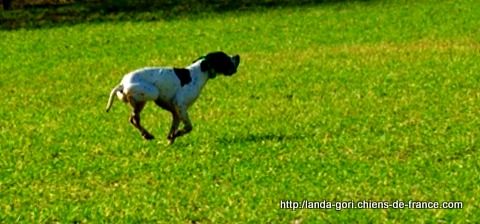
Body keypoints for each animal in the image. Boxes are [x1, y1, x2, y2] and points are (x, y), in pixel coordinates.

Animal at [105, 51, 240, 144]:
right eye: (225, 58)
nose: (238, 56)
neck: (198, 72)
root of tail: (123, 83)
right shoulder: (180, 105)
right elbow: (188, 127)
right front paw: (177, 134)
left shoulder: (176, 112)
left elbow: (173, 129)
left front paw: (171, 138)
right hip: (152, 93)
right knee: (135, 119)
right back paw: (147, 135)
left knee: (133, 119)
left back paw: (146, 134)